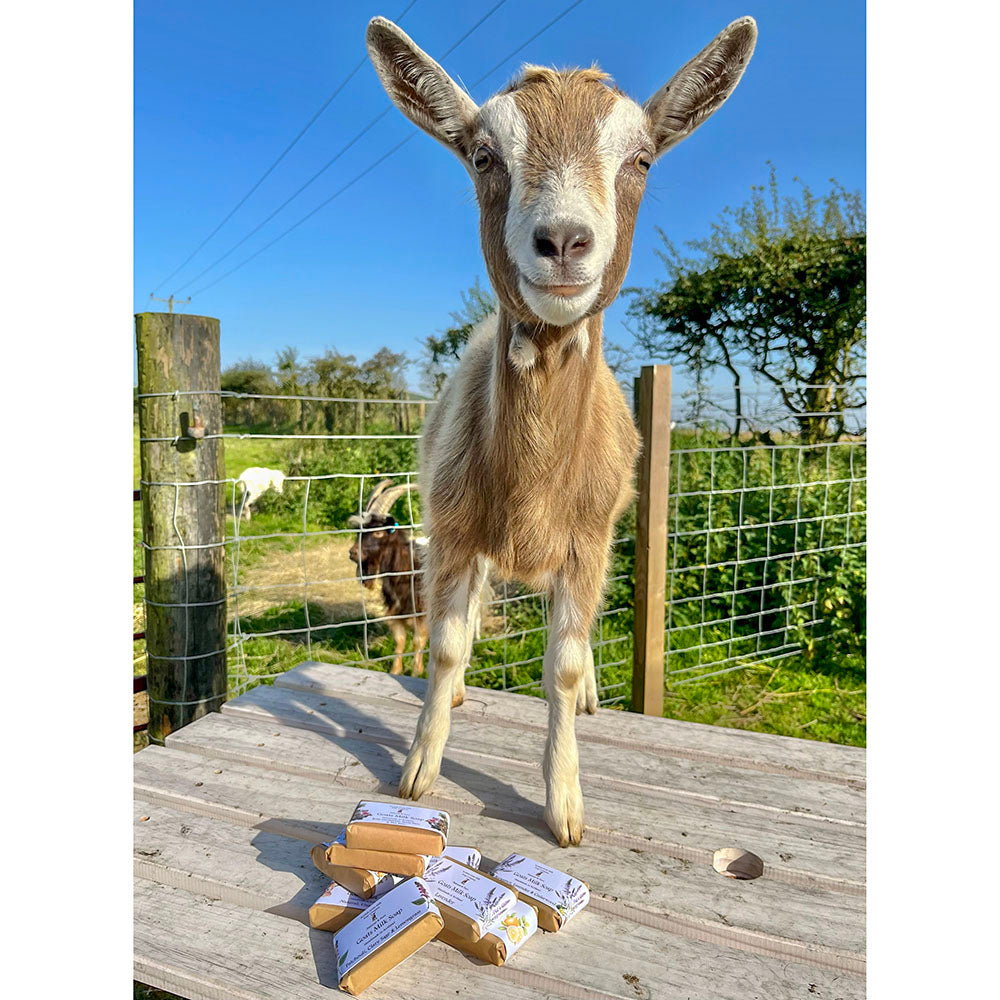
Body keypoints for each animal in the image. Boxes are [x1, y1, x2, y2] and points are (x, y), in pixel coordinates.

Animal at [348, 478, 430, 680]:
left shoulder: (421, 612)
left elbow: (417, 641)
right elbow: (400, 640)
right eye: (359, 531)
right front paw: (395, 671)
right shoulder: (395, 611)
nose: (352, 553)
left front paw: (416, 672)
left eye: (379, 532)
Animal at [368, 15, 756, 844]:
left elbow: (565, 662)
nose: (565, 242)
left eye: (642, 158)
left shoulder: (588, 539)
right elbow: (444, 645)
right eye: (483, 156)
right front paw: (419, 768)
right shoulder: (453, 528)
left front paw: (565, 805)